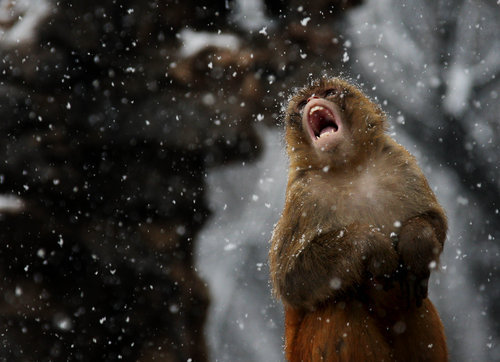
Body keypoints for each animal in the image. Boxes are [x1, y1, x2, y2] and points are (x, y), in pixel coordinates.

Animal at [270, 78, 450, 360]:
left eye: (328, 92)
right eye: (302, 103)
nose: (313, 100)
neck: (349, 168)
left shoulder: (401, 162)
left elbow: (435, 222)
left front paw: (416, 242)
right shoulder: (302, 198)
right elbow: (291, 278)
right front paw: (371, 247)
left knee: (416, 307)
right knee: (338, 308)